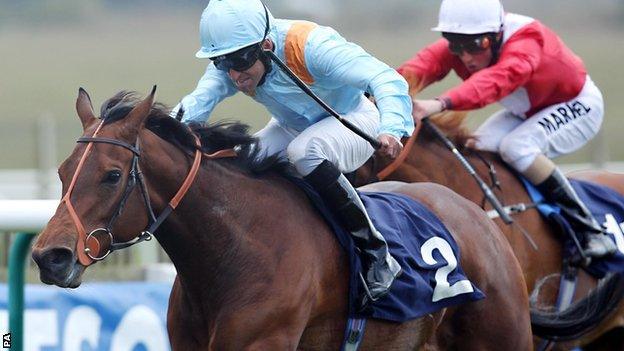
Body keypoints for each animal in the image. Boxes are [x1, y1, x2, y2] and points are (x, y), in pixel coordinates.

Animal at [31, 89, 532, 350]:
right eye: (62, 172)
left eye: (112, 175)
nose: (49, 257)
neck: (237, 247)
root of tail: (477, 213)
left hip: (503, 334)